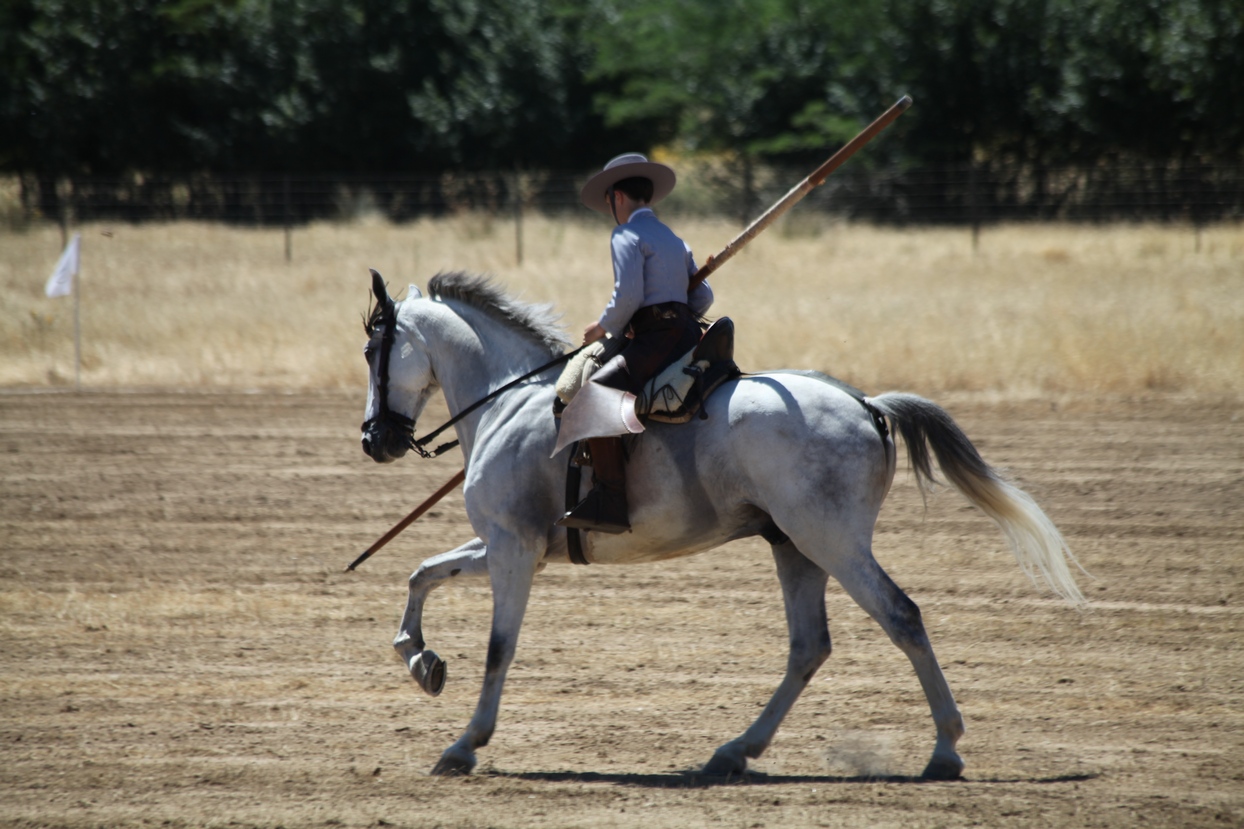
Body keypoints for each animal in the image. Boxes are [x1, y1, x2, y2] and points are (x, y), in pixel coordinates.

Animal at [358, 270, 1079, 776]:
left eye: (374, 349)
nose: (373, 440)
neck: (507, 400)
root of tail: (866, 403)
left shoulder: (511, 548)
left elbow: (498, 646)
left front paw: (464, 742)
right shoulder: (513, 545)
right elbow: (423, 573)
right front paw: (421, 660)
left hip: (831, 542)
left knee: (901, 615)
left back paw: (945, 750)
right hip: (795, 548)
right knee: (809, 645)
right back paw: (735, 749)